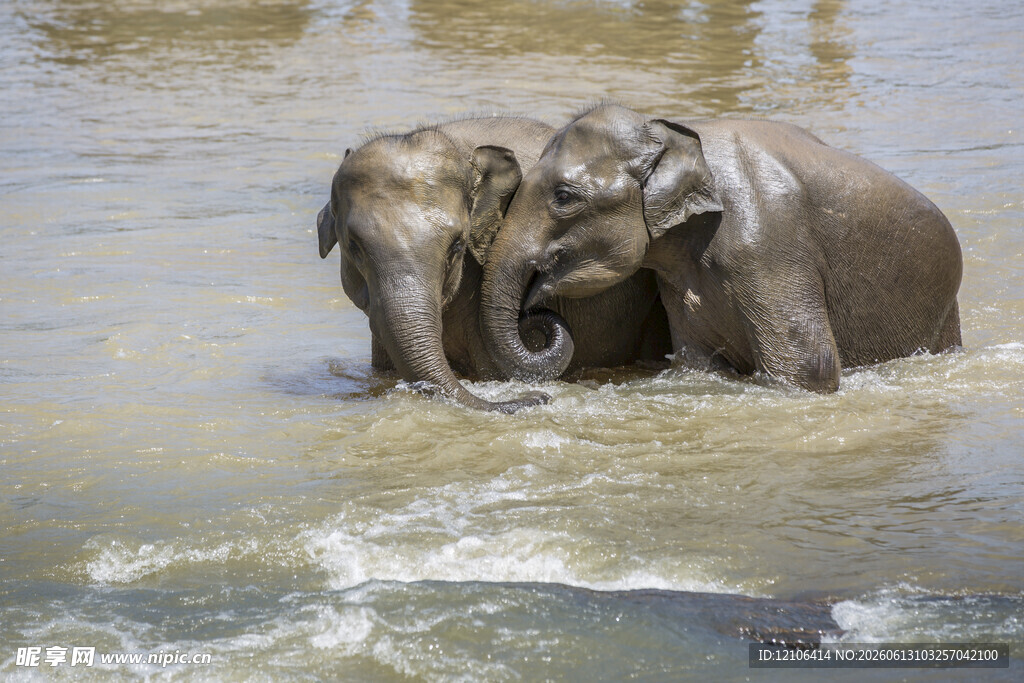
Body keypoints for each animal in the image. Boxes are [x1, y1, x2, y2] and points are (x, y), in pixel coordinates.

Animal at [480, 104, 963, 393]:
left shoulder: (769, 243)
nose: (535, 316)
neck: (671, 132)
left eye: (563, 197)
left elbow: (810, 369)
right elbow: (697, 362)